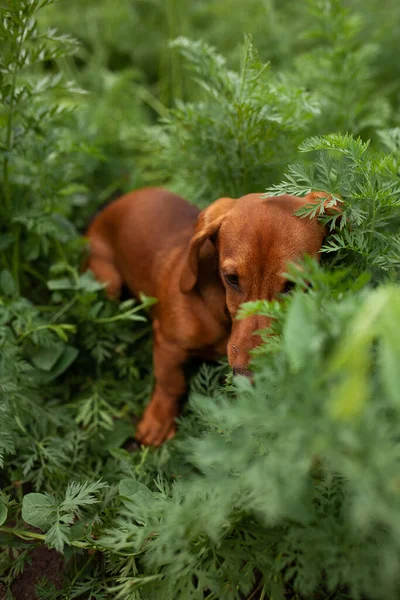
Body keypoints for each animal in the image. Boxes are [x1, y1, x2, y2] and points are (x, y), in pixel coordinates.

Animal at [86, 188, 334, 446]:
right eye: (231, 278)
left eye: (293, 284)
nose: (247, 377)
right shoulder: (167, 342)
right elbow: (170, 382)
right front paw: (158, 420)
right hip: (109, 281)